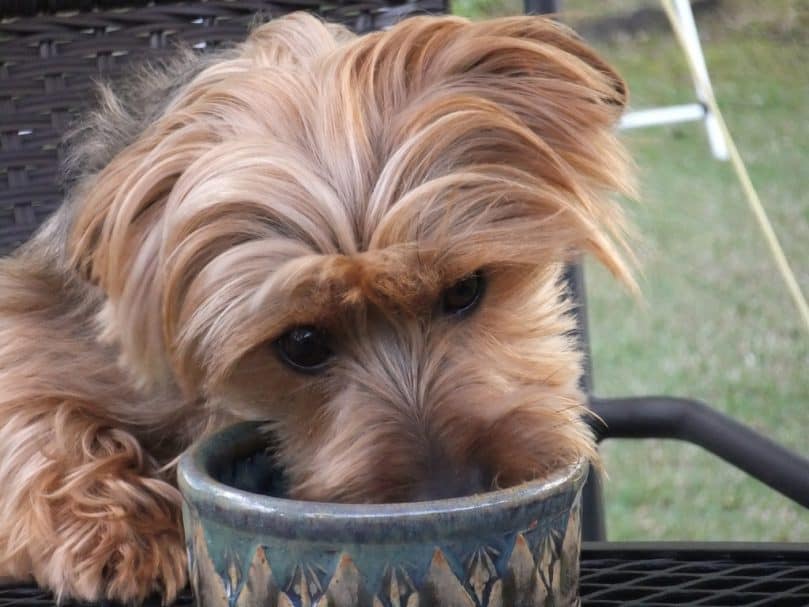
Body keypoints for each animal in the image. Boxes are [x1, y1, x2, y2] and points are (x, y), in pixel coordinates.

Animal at [0, 11, 636, 604]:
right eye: (302, 344)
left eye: (464, 289)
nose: (453, 488)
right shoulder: (41, 315)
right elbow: (36, 410)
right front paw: (122, 534)